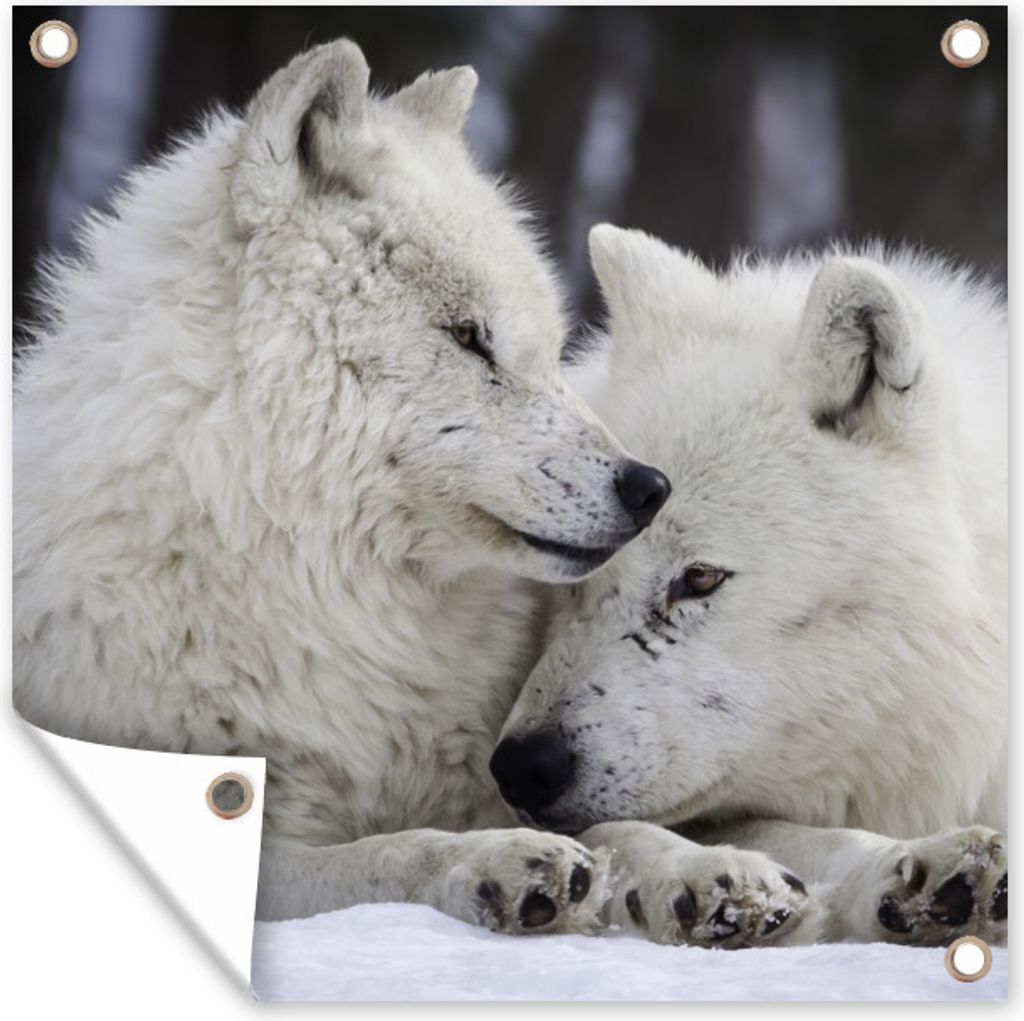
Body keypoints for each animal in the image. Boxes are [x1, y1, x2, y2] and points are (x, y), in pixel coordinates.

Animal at [13, 41, 687, 934]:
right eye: (469, 337)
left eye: (548, 350)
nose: (650, 486)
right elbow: (389, 854)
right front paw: (495, 864)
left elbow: (620, 828)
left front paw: (720, 876)